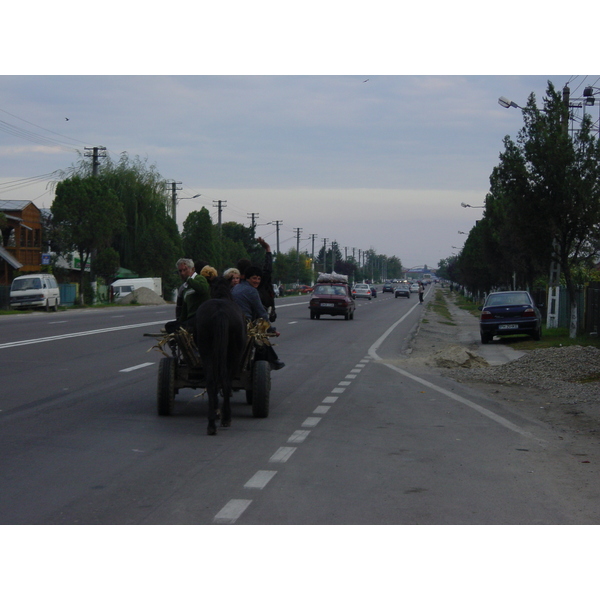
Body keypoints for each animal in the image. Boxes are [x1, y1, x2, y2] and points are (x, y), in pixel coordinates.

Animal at [195, 276, 246, 436]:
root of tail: (220, 312)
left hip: (206, 351)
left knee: (211, 381)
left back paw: (211, 423)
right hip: (232, 355)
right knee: (226, 381)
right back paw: (226, 417)